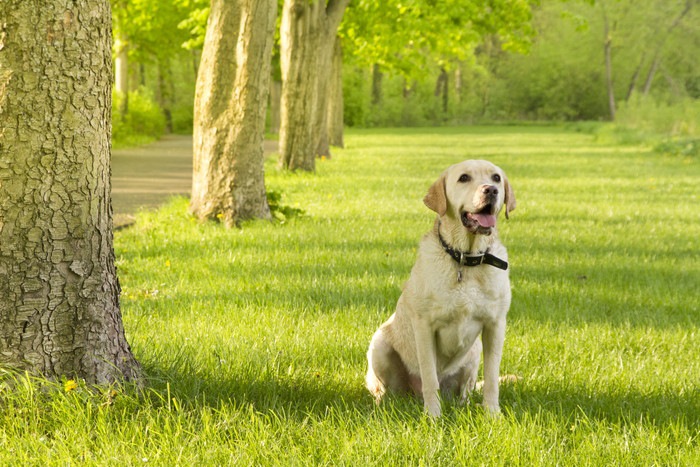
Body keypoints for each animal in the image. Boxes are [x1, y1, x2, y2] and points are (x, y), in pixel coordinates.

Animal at [366, 160, 516, 416]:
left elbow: (492, 378)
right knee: (385, 390)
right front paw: (433, 416)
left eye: (496, 178)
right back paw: (383, 405)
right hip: (379, 345)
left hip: (473, 354)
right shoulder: (424, 326)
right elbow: (429, 376)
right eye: (464, 178)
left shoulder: (495, 325)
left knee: (466, 391)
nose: (491, 190)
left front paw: (492, 414)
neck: (466, 260)